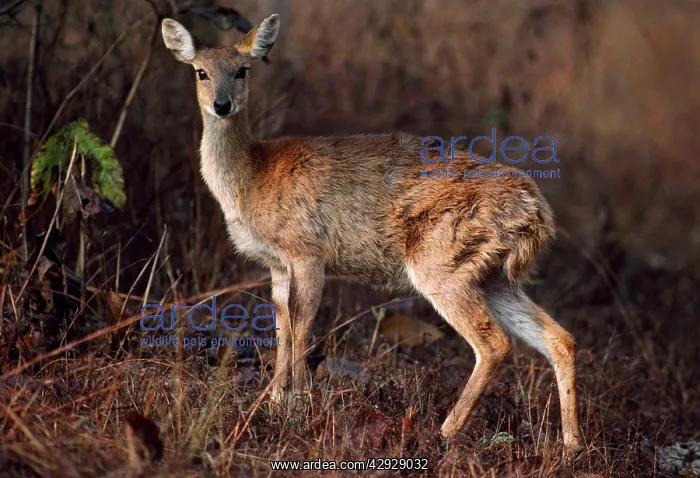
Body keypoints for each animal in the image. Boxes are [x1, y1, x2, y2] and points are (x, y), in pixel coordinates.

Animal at [161, 14, 583, 461]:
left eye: (242, 70)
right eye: (200, 72)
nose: (222, 105)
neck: (251, 178)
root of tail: (538, 211)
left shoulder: (307, 250)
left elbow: (302, 323)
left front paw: (297, 410)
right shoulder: (277, 264)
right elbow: (281, 324)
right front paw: (273, 401)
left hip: (441, 263)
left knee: (494, 343)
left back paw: (444, 432)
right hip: (491, 275)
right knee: (560, 338)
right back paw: (572, 445)